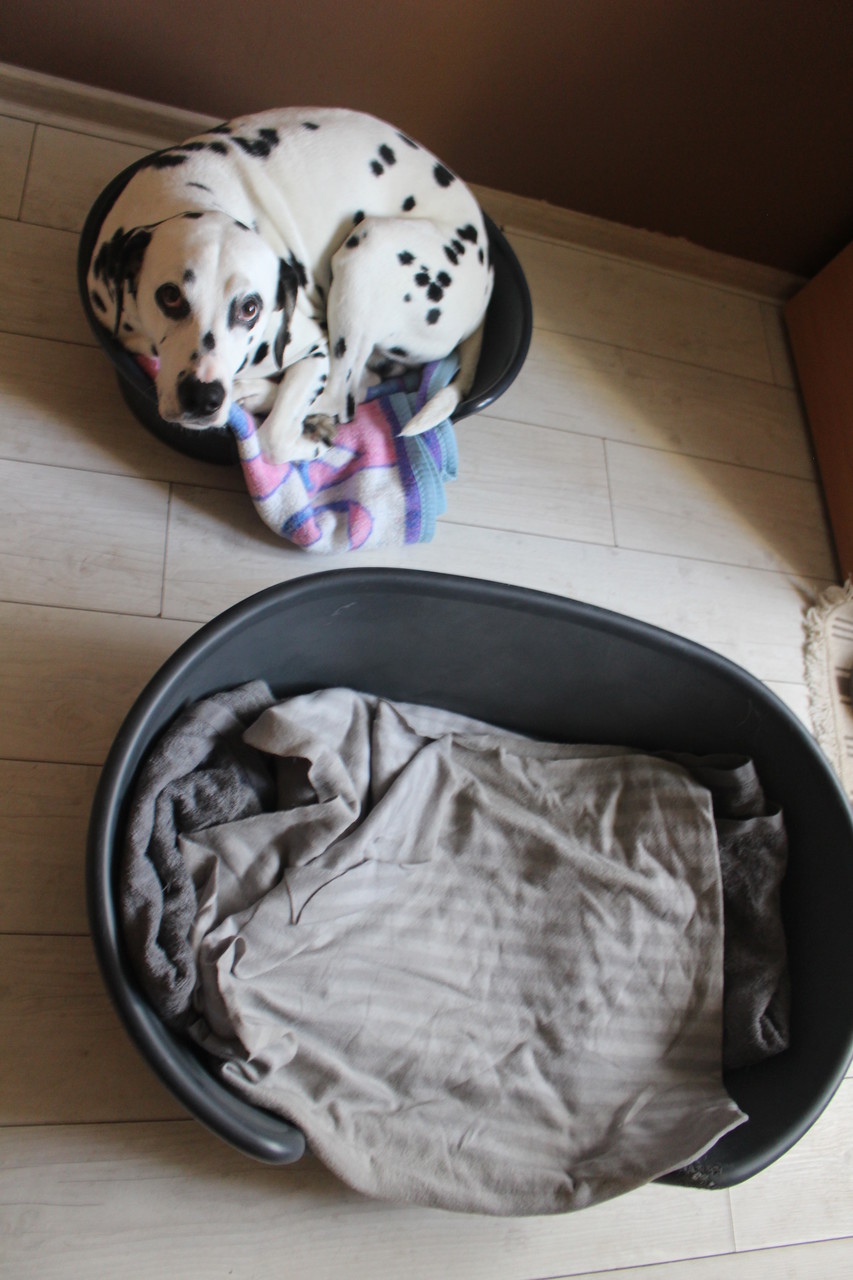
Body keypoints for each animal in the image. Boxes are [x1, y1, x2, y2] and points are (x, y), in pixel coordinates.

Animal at [87, 108, 494, 462]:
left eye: (250, 308)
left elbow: (273, 439)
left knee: (341, 397)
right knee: (361, 386)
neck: (184, 192)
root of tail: (488, 274)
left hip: (368, 249)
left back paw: (261, 396)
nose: (203, 398)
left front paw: (305, 440)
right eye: (170, 296)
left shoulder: (315, 347)